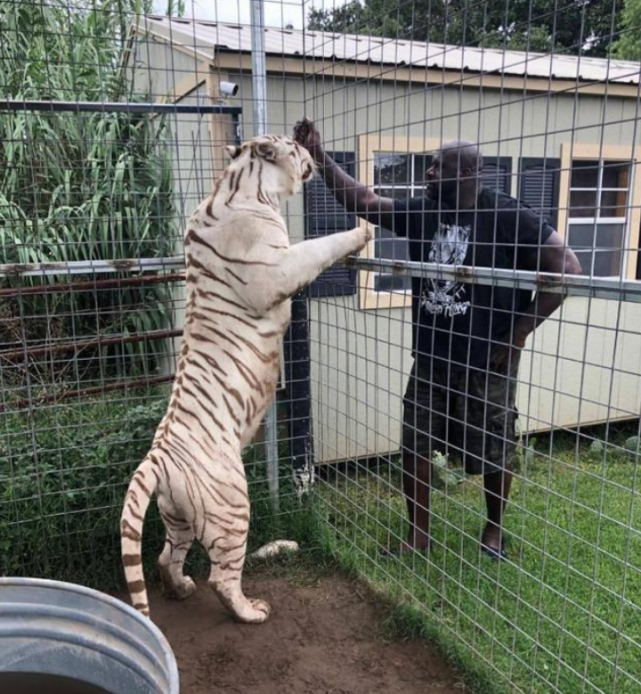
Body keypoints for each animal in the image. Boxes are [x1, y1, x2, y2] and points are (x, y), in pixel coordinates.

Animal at [120, 133, 370, 624]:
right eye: (295, 147)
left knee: (164, 556)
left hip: (177, 514)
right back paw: (251, 611)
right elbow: (320, 245)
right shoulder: (280, 266)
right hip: (231, 504)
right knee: (222, 576)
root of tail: (158, 457)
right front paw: (363, 229)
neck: (241, 184)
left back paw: (180, 589)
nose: (310, 151)